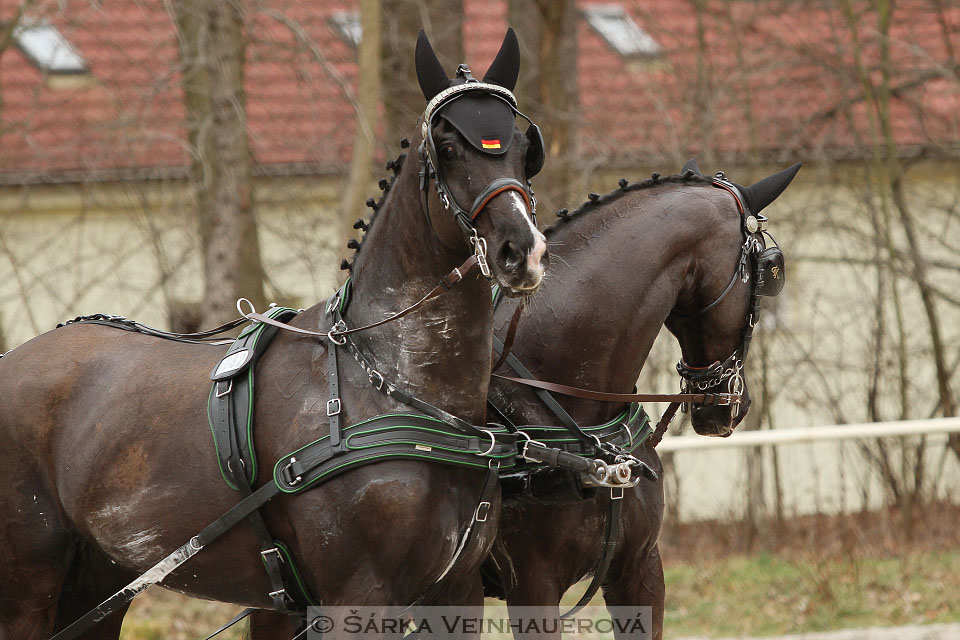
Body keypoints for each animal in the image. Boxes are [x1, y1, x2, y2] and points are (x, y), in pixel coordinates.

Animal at [0, 27, 548, 636]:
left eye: (524, 149)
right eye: (448, 149)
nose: (522, 251)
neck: (397, 388)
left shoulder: (457, 593)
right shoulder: (356, 596)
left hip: (99, 580)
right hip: (27, 585)